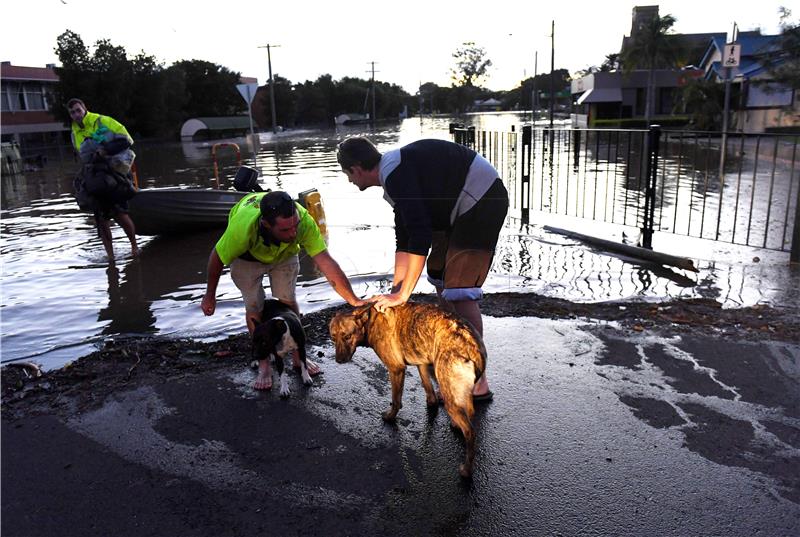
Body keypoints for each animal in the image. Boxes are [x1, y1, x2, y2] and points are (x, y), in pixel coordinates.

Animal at [326, 302, 488, 478]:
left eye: (347, 336)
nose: (339, 360)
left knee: (470, 433)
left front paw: (390, 417)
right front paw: (431, 403)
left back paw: (466, 469)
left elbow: (396, 400)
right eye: (333, 338)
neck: (370, 321)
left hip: (449, 395)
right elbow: (428, 389)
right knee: (469, 412)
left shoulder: (396, 369)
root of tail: (471, 345)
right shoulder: (421, 363)